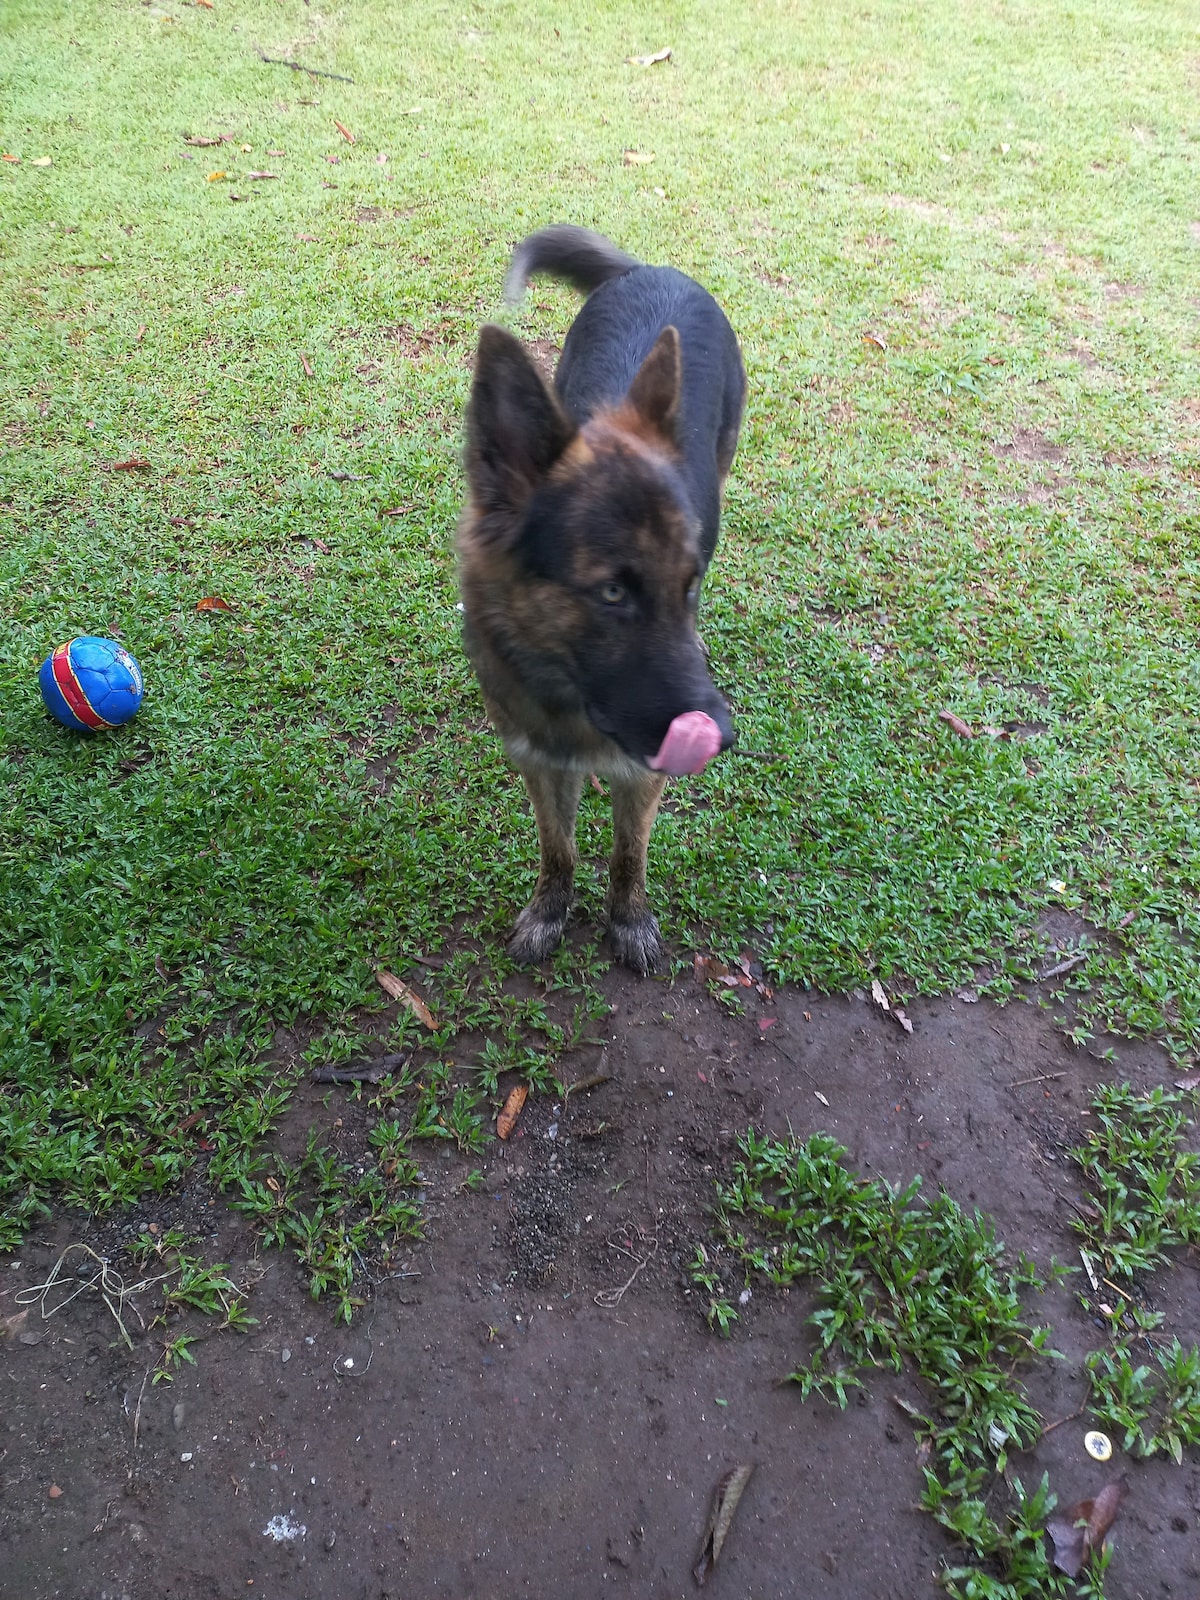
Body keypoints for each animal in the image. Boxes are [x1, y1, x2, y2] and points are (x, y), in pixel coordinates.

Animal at [457, 225, 748, 972]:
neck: (571, 698)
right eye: (612, 591)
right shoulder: (537, 760)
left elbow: (627, 855)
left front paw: (629, 921)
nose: (722, 734)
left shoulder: (641, 773)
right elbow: (557, 849)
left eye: (687, 584)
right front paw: (550, 912)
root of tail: (653, 269)